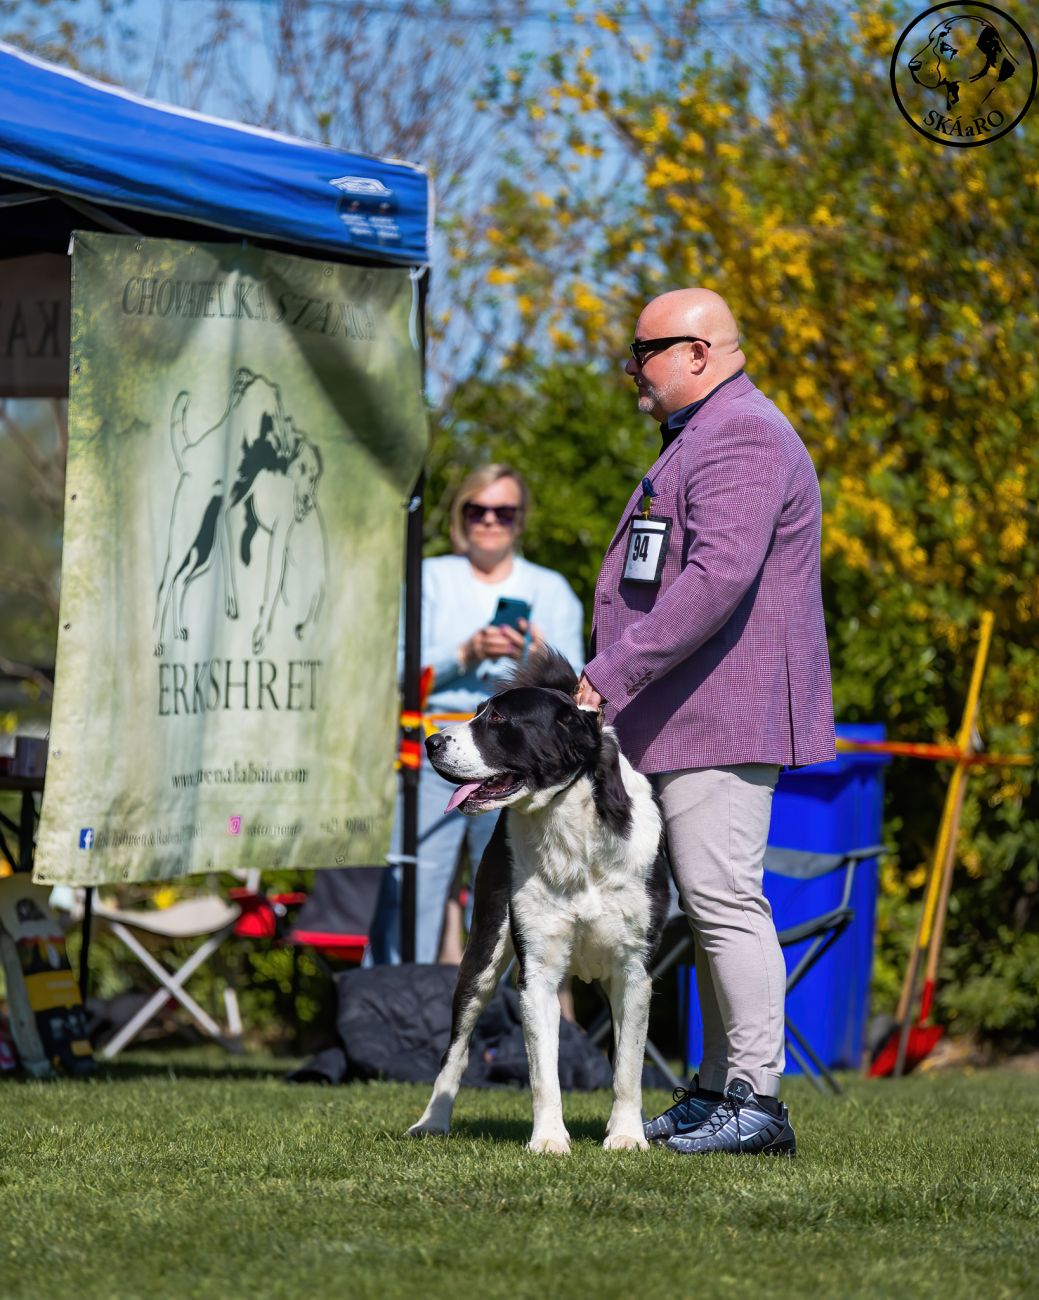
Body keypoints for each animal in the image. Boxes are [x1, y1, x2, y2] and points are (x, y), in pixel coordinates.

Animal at [407, 649, 669, 1155]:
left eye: (498, 719)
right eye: (478, 711)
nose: (431, 741)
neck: (571, 831)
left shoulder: (634, 968)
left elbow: (627, 1066)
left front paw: (627, 1135)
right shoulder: (538, 970)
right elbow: (543, 1070)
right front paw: (549, 1140)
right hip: (482, 953)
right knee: (456, 1049)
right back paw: (431, 1121)